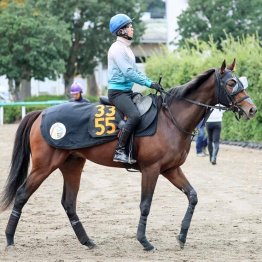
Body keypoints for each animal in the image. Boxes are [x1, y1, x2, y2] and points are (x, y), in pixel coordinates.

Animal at [0, 59, 258, 252]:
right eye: (231, 82)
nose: (252, 109)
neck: (171, 118)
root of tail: (42, 113)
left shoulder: (171, 169)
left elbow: (192, 196)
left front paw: (182, 236)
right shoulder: (152, 169)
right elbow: (145, 204)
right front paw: (144, 241)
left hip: (72, 164)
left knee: (69, 203)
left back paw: (87, 241)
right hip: (44, 166)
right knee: (22, 194)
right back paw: (10, 239)